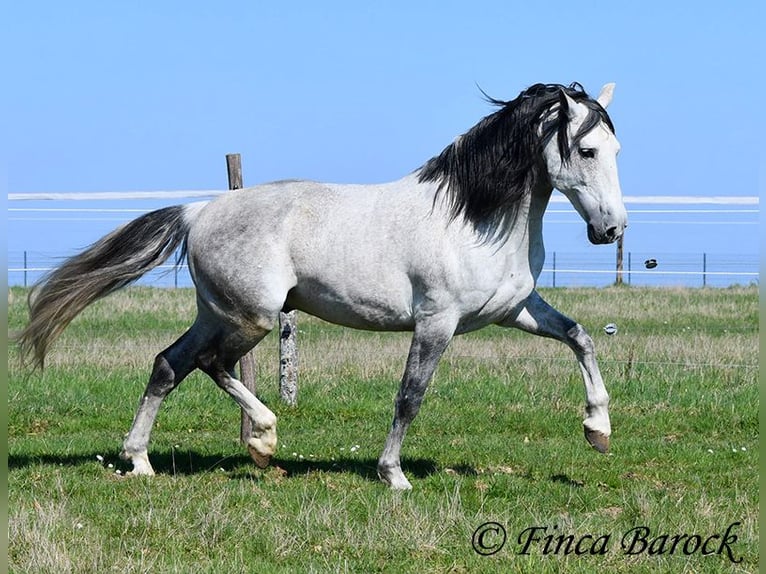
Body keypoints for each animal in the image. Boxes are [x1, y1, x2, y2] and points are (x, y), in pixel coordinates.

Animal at [16, 82, 627, 490]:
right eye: (587, 150)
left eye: (617, 150)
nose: (612, 230)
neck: (474, 218)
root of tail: (200, 212)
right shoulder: (437, 321)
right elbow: (410, 395)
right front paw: (393, 475)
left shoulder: (514, 309)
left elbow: (580, 337)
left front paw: (598, 429)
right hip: (253, 317)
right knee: (212, 364)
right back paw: (263, 439)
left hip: (217, 313)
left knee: (170, 363)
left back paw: (140, 461)